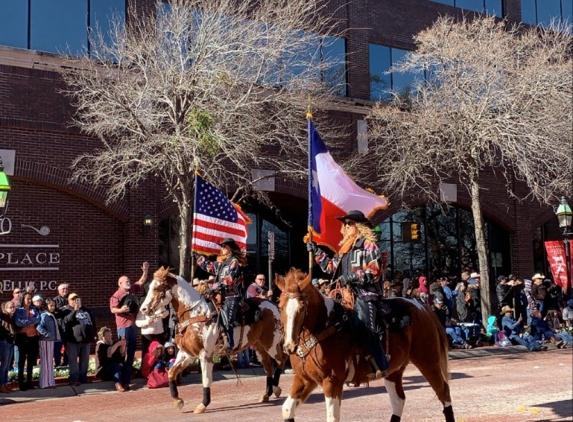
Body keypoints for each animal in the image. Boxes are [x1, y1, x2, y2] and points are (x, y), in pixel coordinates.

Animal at [139, 268, 286, 412]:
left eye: (157, 288)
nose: (143, 309)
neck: (195, 314)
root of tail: (272, 304)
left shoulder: (205, 354)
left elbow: (206, 379)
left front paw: (203, 404)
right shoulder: (186, 353)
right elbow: (171, 373)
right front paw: (178, 400)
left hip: (271, 344)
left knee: (280, 360)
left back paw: (276, 388)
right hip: (259, 346)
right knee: (268, 367)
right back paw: (267, 394)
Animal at [274, 268, 454, 422]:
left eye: (302, 307)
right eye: (280, 306)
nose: (289, 346)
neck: (325, 327)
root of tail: (422, 307)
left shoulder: (332, 382)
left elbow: (332, 417)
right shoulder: (304, 379)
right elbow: (287, 409)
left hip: (428, 362)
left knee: (444, 393)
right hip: (393, 371)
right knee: (399, 401)